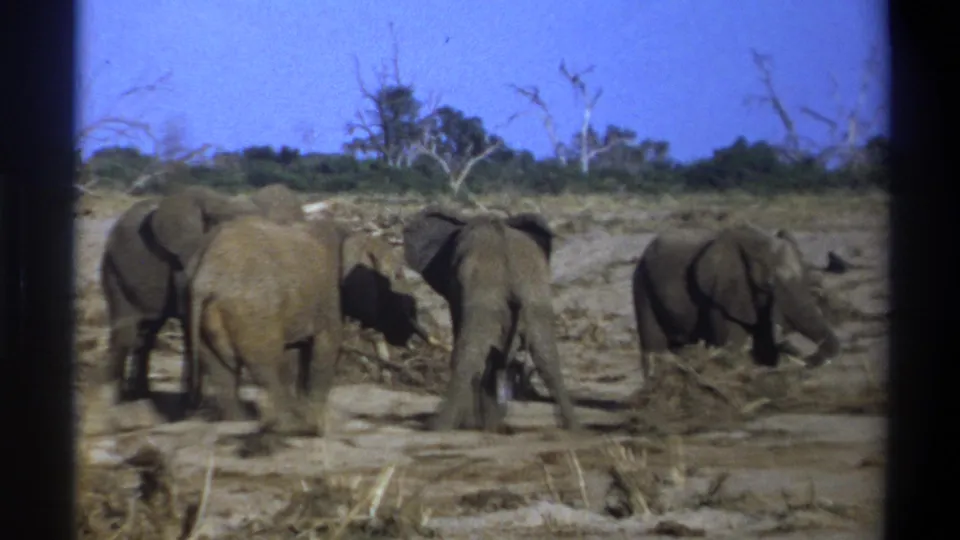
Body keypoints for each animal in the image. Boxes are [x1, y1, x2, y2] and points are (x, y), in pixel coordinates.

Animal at [185, 215, 344, 435]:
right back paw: (282, 424)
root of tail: (207, 275)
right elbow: (326, 344)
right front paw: (315, 426)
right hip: (254, 309)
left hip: (200, 310)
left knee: (219, 367)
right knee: (266, 362)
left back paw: (240, 420)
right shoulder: (326, 294)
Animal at [402, 206, 580, 433]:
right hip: (534, 295)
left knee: (469, 355)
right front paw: (489, 424)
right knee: (546, 356)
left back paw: (440, 426)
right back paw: (575, 429)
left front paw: (475, 424)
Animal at [631, 223, 841, 381]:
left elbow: (765, 347)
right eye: (769, 284)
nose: (805, 360)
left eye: (808, 279)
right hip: (641, 283)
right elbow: (731, 345)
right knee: (654, 346)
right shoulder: (722, 293)